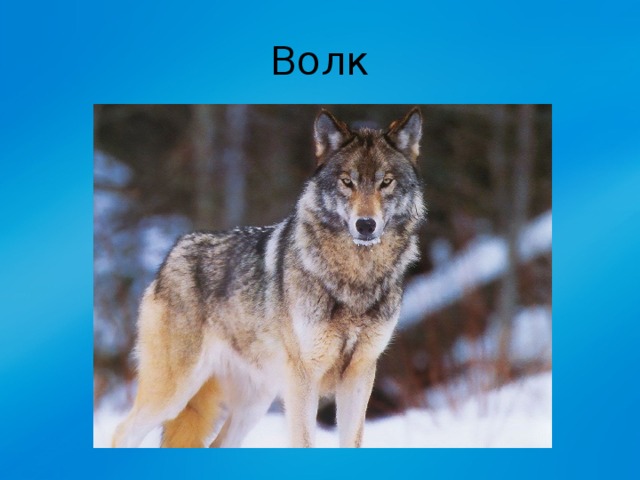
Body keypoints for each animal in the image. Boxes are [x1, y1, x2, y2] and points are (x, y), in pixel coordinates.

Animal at [112, 107, 426, 448]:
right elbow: (304, 442)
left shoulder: (360, 374)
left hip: (254, 403)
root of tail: (173, 251)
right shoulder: (303, 378)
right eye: (347, 182)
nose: (365, 225)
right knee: (121, 432)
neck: (356, 278)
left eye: (386, 182)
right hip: (173, 394)